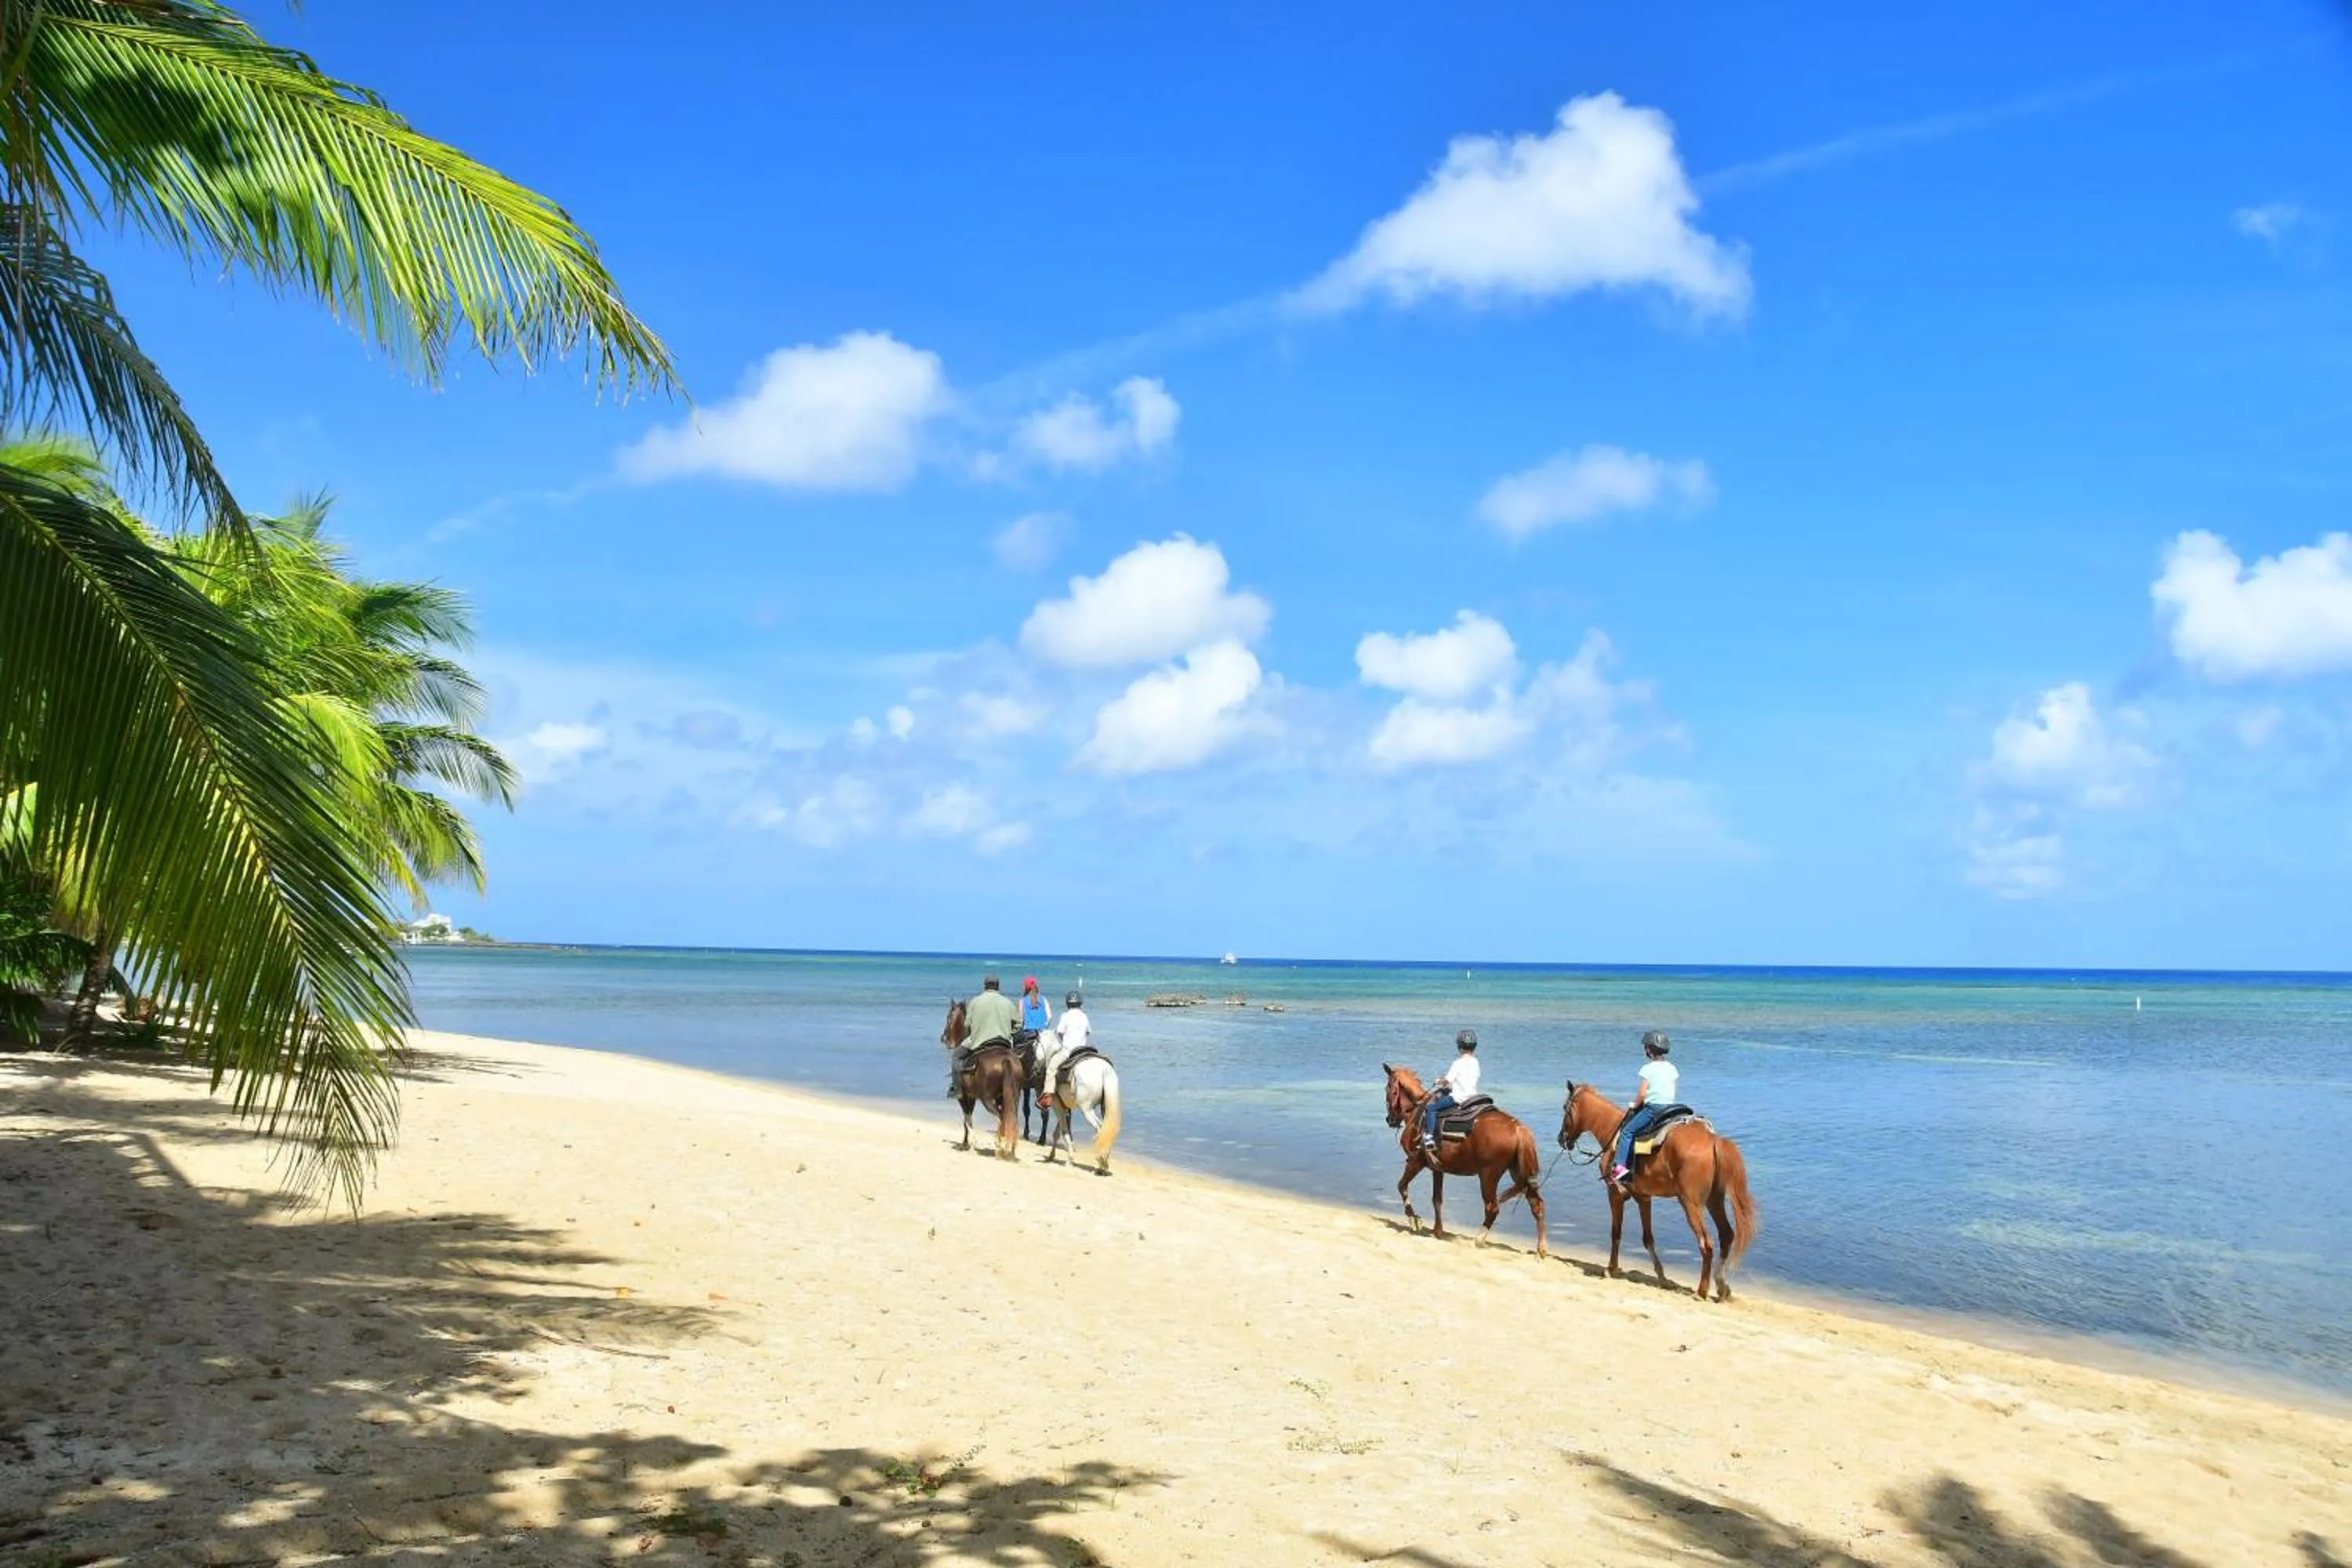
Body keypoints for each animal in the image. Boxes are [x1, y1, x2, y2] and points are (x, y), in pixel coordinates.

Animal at [940, 998, 1021, 1160]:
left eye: (949, 1018)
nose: (944, 1039)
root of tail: (1006, 1059)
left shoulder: (964, 1097)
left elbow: (967, 1119)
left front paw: (968, 1144)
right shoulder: (972, 1097)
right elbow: (968, 1119)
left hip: (987, 1099)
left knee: (1000, 1117)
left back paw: (999, 1147)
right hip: (1012, 1098)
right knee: (1012, 1119)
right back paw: (1010, 1150)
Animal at [1041, 1053, 1123, 1175]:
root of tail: (1105, 1071)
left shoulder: (1057, 1106)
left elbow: (1064, 1132)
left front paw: (1069, 1160)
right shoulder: (1065, 1108)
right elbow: (1058, 1132)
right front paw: (1051, 1156)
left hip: (1086, 1110)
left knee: (1100, 1128)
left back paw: (1100, 1163)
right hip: (1105, 1108)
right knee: (1108, 1131)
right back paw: (1103, 1165)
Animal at [1380, 1064, 1547, 1258]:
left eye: (1388, 1089)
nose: (1390, 1119)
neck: (1416, 1112)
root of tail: (1520, 1129)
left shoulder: (1416, 1161)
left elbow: (1402, 1186)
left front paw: (1413, 1219)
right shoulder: (1438, 1169)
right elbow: (1437, 1199)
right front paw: (1437, 1230)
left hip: (1488, 1176)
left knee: (1492, 1207)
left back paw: (1480, 1238)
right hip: (1520, 1174)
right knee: (1537, 1205)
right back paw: (1541, 1249)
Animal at [1557, 1080, 1756, 1302]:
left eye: (1565, 1108)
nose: (1561, 1139)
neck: (1612, 1130)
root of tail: (1714, 1141)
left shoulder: (1615, 1194)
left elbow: (1616, 1232)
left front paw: (1611, 1269)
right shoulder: (1644, 1198)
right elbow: (1648, 1238)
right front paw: (1662, 1276)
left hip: (1691, 1203)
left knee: (1707, 1244)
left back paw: (1702, 1291)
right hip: (1714, 1201)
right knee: (1726, 1236)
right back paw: (1721, 1287)